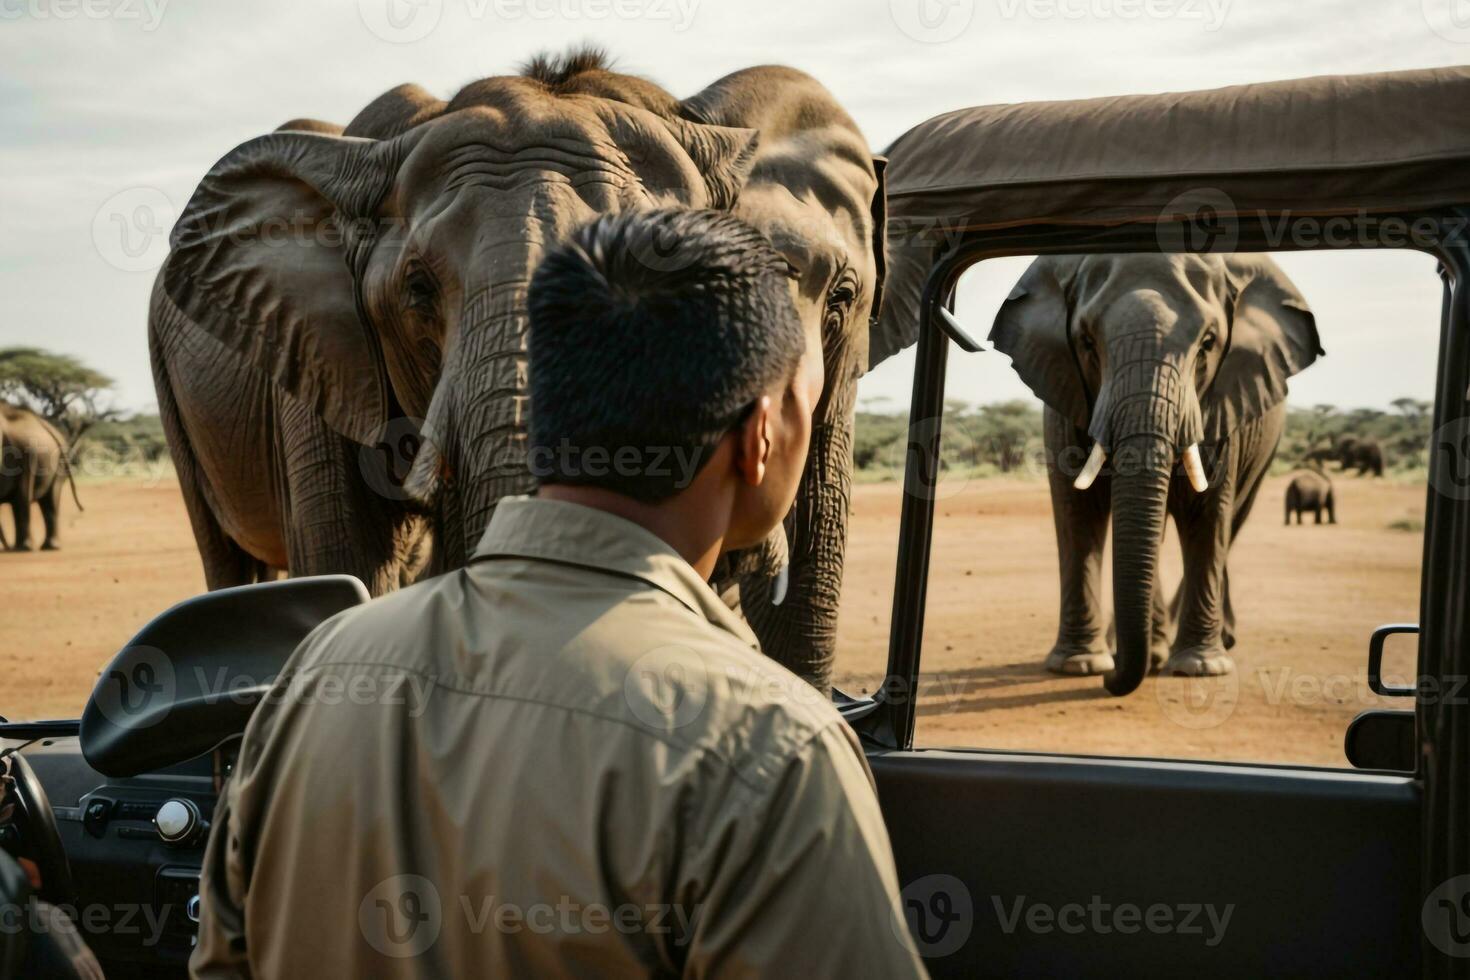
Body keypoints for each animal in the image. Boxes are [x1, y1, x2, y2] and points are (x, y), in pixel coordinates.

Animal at [0, 399, 83, 552]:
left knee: (46, 499)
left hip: (51, 461)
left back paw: (37, 548)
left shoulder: (22, 459)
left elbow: (22, 497)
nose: (7, 548)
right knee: (46, 502)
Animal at [993, 252, 1328, 696]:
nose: (1111, 680)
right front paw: (1082, 665)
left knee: (1231, 524)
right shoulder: (1063, 390)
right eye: (1086, 341)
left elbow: (1207, 515)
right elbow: (1078, 512)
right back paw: (1149, 653)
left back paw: (1211, 645)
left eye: (1208, 343)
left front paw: (1200, 668)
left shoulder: (1222, 403)